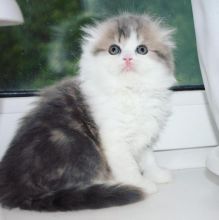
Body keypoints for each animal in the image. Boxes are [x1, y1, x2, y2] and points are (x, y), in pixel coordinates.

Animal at [0, 13, 175, 211]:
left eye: (142, 49)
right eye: (114, 49)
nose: (128, 58)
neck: (130, 91)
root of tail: (15, 188)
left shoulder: (145, 132)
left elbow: (148, 158)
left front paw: (157, 175)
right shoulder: (114, 140)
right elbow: (128, 165)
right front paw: (141, 183)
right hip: (78, 146)